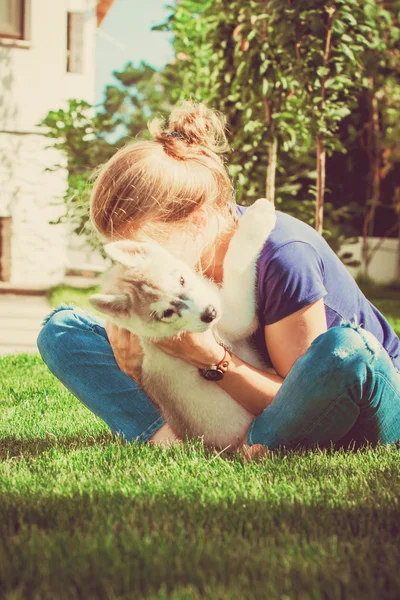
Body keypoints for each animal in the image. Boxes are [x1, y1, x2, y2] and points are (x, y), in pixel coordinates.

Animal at [88, 199, 276, 452]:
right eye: (166, 313)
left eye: (181, 280)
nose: (210, 313)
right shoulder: (235, 318)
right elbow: (236, 265)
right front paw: (259, 216)